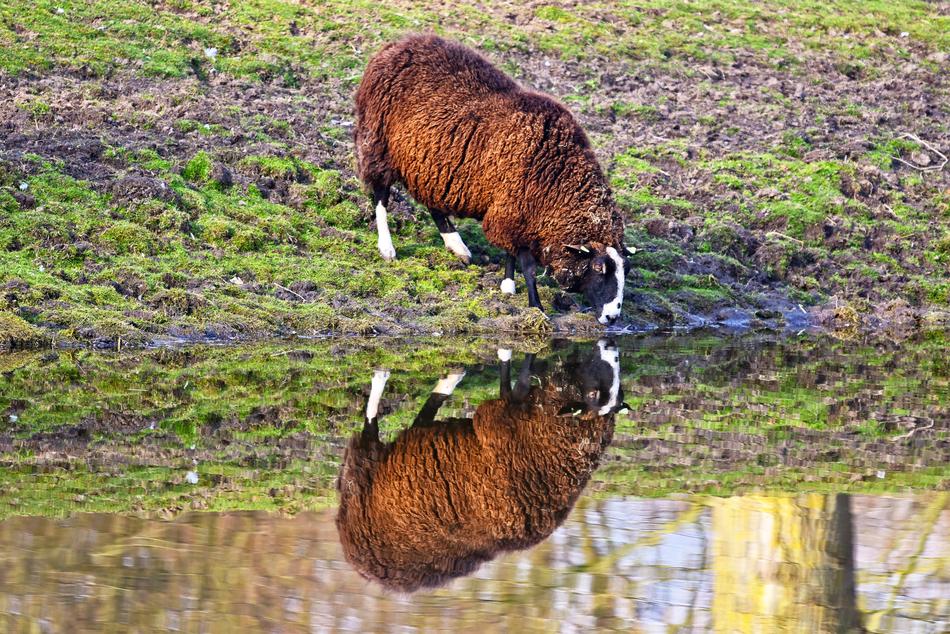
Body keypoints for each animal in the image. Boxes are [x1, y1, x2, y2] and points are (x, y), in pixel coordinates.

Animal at [335, 341, 625, 592]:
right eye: (593, 392)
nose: (607, 345)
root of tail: (359, 562)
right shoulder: (499, 414)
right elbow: (515, 379)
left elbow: (514, 383)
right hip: (362, 474)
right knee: (371, 428)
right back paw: (383, 375)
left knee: (413, 423)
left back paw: (447, 379)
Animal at [354, 34, 632, 324]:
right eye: (599, 268)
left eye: (627, 270)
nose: (613, 316)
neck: (556, 177)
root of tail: (398, 44)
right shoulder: (511, 210)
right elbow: (527, 265)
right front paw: (536, 305)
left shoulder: (513, 210)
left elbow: (512, 253)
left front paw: (508, 286)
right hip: (378, 143)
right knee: (380, 196)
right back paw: (387, 248)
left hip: (429, 165)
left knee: (433, 202)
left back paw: (457, 246)